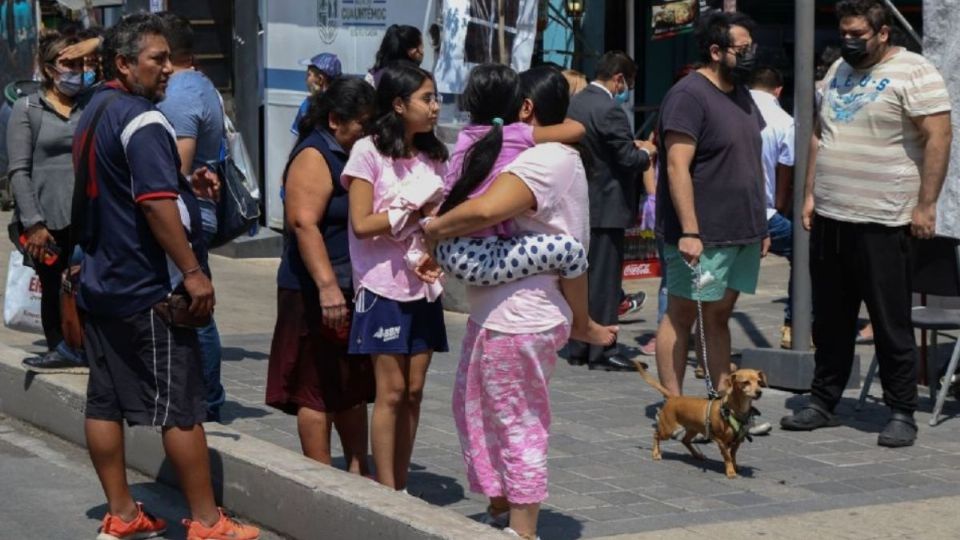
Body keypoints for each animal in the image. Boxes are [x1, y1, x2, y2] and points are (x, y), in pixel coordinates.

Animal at [636, 362, 764, 476]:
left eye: (759, 382)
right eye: (745, 382)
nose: (759, 392)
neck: (734, 410)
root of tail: (673, 397)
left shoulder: (737, 441)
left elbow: (733, 455)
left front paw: (735, 467)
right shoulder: (721, 441)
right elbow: (727, 456)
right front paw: (730, 472)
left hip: (693, 429)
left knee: (685, 440)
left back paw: (697, 455)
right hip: (668, 430)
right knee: (656, 435)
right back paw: (656, 453)